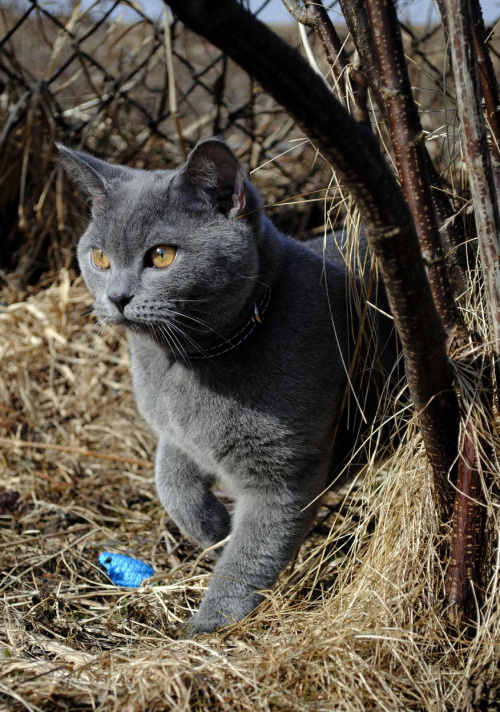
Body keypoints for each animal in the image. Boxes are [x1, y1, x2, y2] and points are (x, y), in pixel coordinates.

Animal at [56, 139, 396, 636]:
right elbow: (171, 482)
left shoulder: (283, 475)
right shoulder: (174, 432)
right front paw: (213, 529)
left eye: (162, 255)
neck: (191, 363)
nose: (116, 297)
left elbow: (249, 557)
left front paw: (208, 626)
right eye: (99, 258)